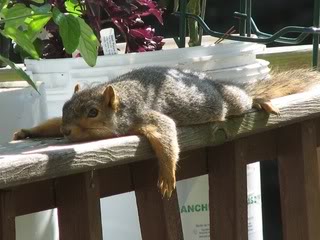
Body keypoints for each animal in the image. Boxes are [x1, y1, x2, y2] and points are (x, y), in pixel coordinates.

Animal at [11, 66, 320, 198]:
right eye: (64, 107)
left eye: (93, 113)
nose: (66, 130)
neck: (123, 101)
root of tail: (218, 83)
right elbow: (48, 124)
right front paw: (27, 131)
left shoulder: (147, 116)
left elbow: (166, 135)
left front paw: (168, 177)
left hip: (231, 102)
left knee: (243, 99)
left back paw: (257, 99)